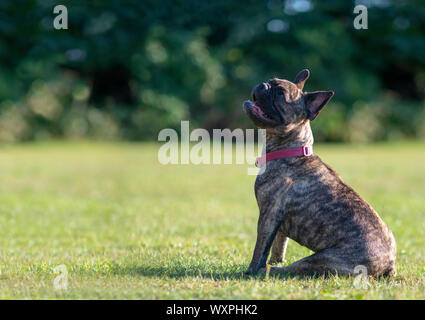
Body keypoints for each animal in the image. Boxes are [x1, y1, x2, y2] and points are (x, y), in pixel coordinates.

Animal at [242, 70, 398, 278]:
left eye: (281, 94)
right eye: (270, 81)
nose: (264, 85)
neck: (290, 150)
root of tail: (388, 264)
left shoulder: (268, 214)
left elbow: (261, 248)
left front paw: (250, 270)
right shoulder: (278, 223)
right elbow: (278, 244)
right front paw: (276, 259)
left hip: (318, 259)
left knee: (290, 269)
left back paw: (268, 270)